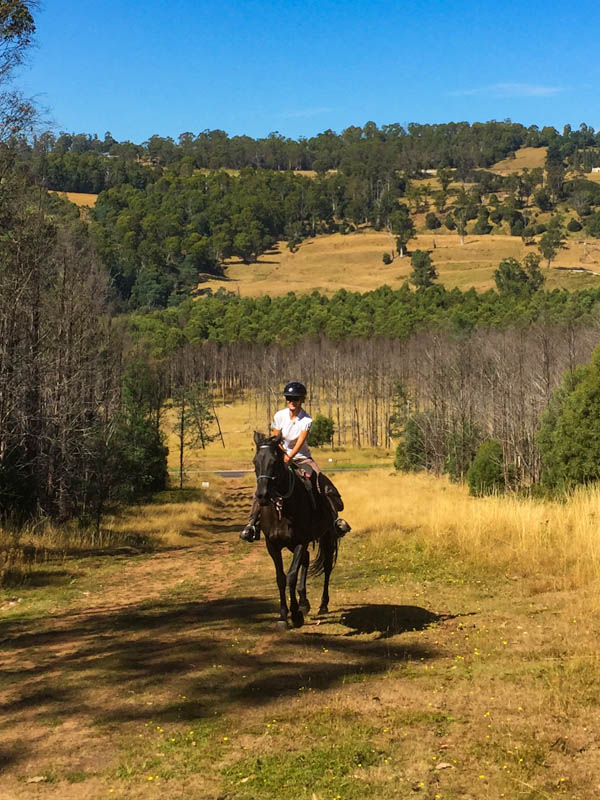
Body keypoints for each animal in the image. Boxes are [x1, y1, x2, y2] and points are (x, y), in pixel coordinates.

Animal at [251, 432, 340, 632]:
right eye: (255, 461)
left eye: (275, 462)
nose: (262, 495)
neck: (281, 509)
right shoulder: (272, 544)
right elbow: (281, 578)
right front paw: (283, 616)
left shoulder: (301, 541)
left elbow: (291, 575)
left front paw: (296, 615)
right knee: (306, 559)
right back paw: (304, 602)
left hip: (327, 537)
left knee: (327, 567)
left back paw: (322, 604)